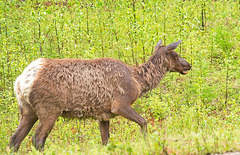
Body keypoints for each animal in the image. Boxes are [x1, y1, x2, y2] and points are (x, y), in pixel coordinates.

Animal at [9, 39, 190, 151]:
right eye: (175, 55)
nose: (188, 65)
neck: (138, 82)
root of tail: (21, 81)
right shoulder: (120, 105)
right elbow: (144, 122)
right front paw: (147, 144)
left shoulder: (103, 114)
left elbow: (105, 141)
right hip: (49, 110)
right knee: (37, 140)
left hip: (27, 110)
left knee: (14, 140)